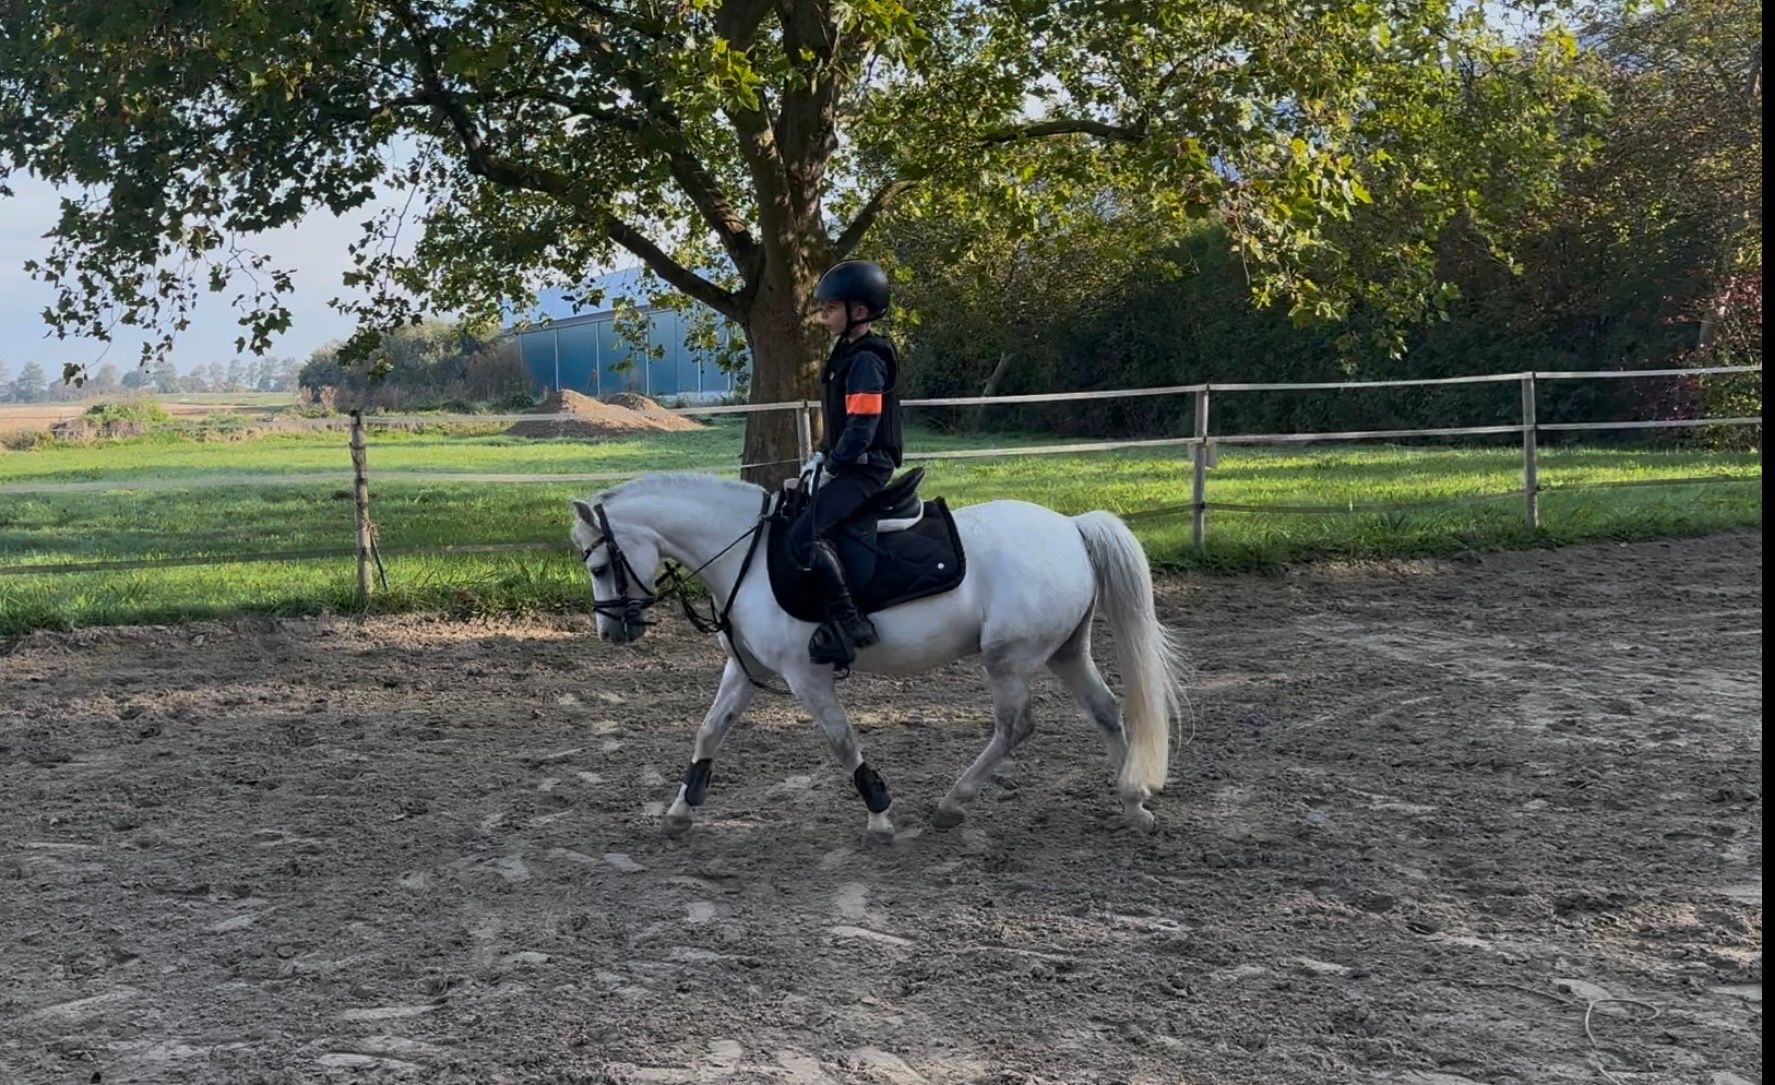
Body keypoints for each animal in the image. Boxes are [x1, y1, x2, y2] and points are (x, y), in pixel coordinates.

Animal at [569, 472, 1187, 842]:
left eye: (598, 565)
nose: (612, 632)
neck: (746, 553)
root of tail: (1071, 527)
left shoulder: (805, 677)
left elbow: (843, 742)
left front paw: (880, 815)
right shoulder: (748, 670)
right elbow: (709, 729)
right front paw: (680, 810)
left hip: (1008, 659)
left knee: (1015, 726)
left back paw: (952, 803)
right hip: (1064, 651)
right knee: (1106, 710)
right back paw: (1132, 802)